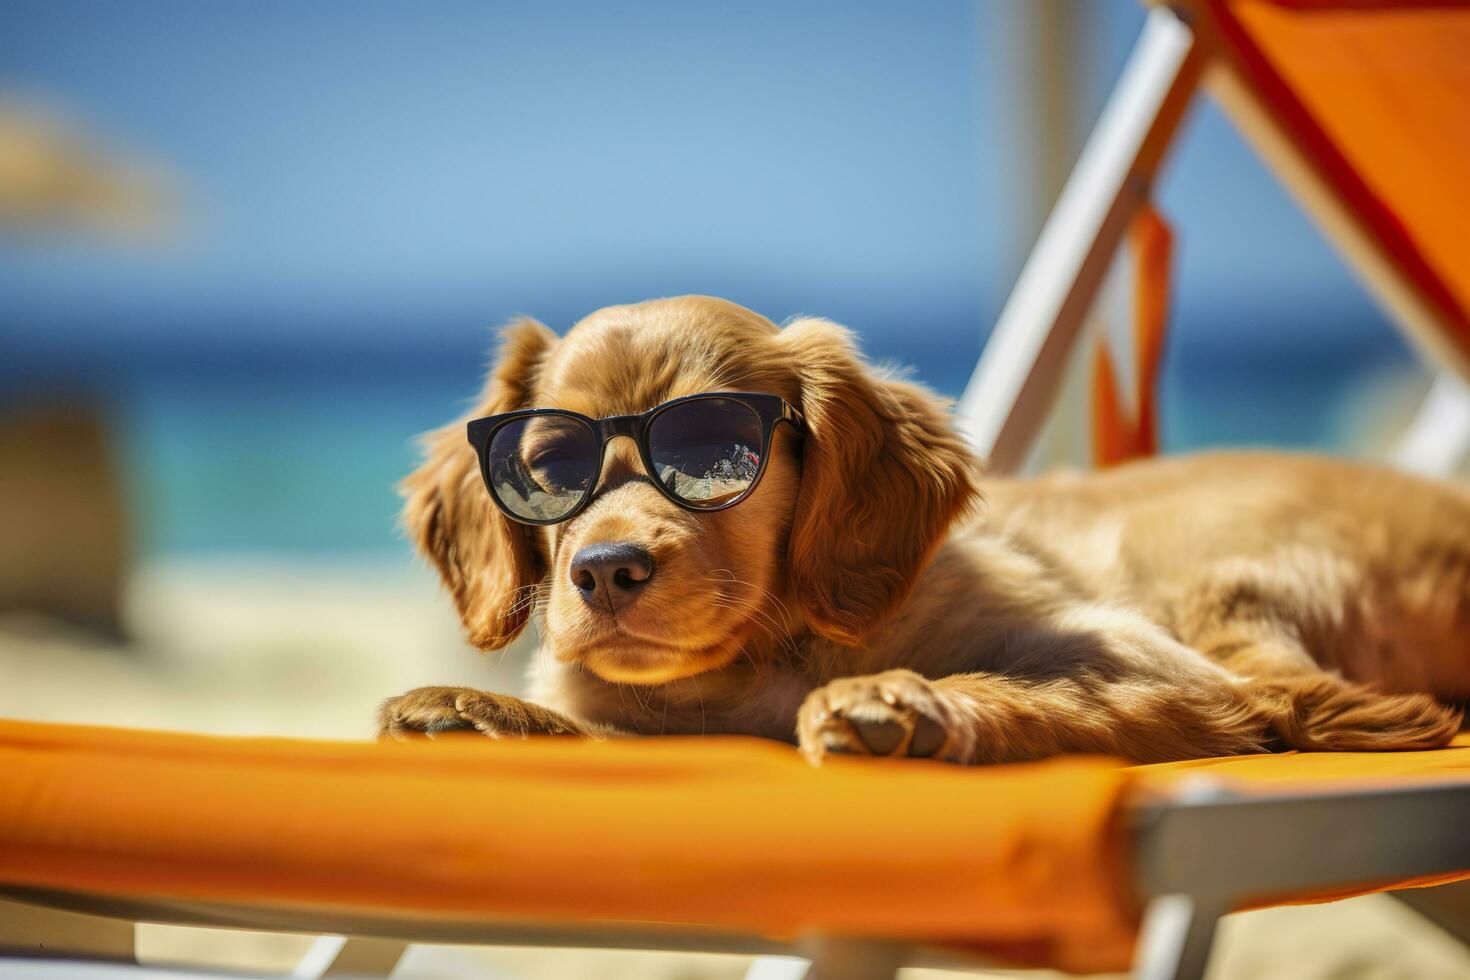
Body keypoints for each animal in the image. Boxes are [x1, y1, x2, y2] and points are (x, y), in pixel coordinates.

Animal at [382, 295, 1470, 764]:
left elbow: (1021, 685)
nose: (605, 570)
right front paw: (474, 706)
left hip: (1211, 575)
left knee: (1317, 701)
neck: (769, 658)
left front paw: (902, 702)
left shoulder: (1158, 666)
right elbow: (611, 725)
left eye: (719, 450)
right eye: (549, 468)